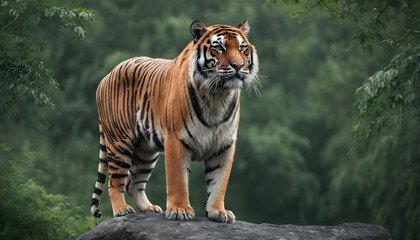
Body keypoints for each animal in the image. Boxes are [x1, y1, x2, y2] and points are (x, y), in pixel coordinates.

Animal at [90, 20, 258, 223]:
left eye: (242, 48)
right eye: (219, 47)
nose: (238, 65)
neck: (217, 96)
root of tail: (107, 76)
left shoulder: (224, 145)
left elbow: (219, 181)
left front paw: (219, 212)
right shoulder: (176, 139)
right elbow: (178, 179)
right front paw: (180, 210)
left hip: (145, 149)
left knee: (133, 182)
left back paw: (149, 208)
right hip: (119, 142)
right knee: (115, 181)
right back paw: (122, 209)